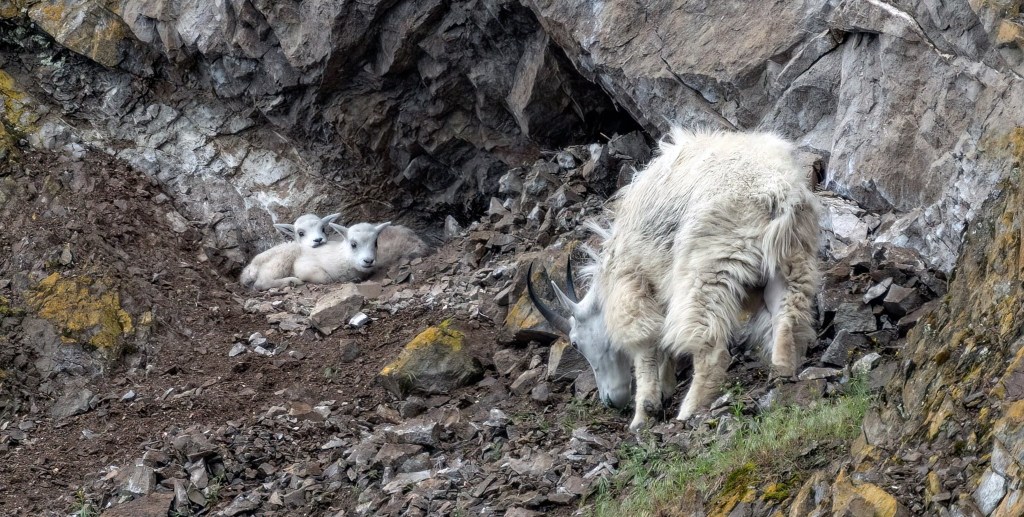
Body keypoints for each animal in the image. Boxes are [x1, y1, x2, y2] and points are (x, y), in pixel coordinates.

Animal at [529, 128, 821, 430]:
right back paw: (781, 374)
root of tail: (778, 193)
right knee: (786, 318)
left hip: (709, 267)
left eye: (576, 342)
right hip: (790, 259)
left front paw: (643, 413)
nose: (610, 400)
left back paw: (689, 410)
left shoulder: (633, 283)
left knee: (711, 348)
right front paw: (665, 387)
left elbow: (645, 343)